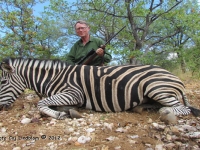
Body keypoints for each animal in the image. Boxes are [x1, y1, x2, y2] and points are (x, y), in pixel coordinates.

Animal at [0, 57, 200, 119]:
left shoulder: (75, 93)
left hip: (155, 87)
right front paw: (66, 110)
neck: (53, 78)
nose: (1, 108)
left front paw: (59, 114)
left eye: (2, 83)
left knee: (181, 108)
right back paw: (141, 108)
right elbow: (48, 103)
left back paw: (165, 111)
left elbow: (41, 103)